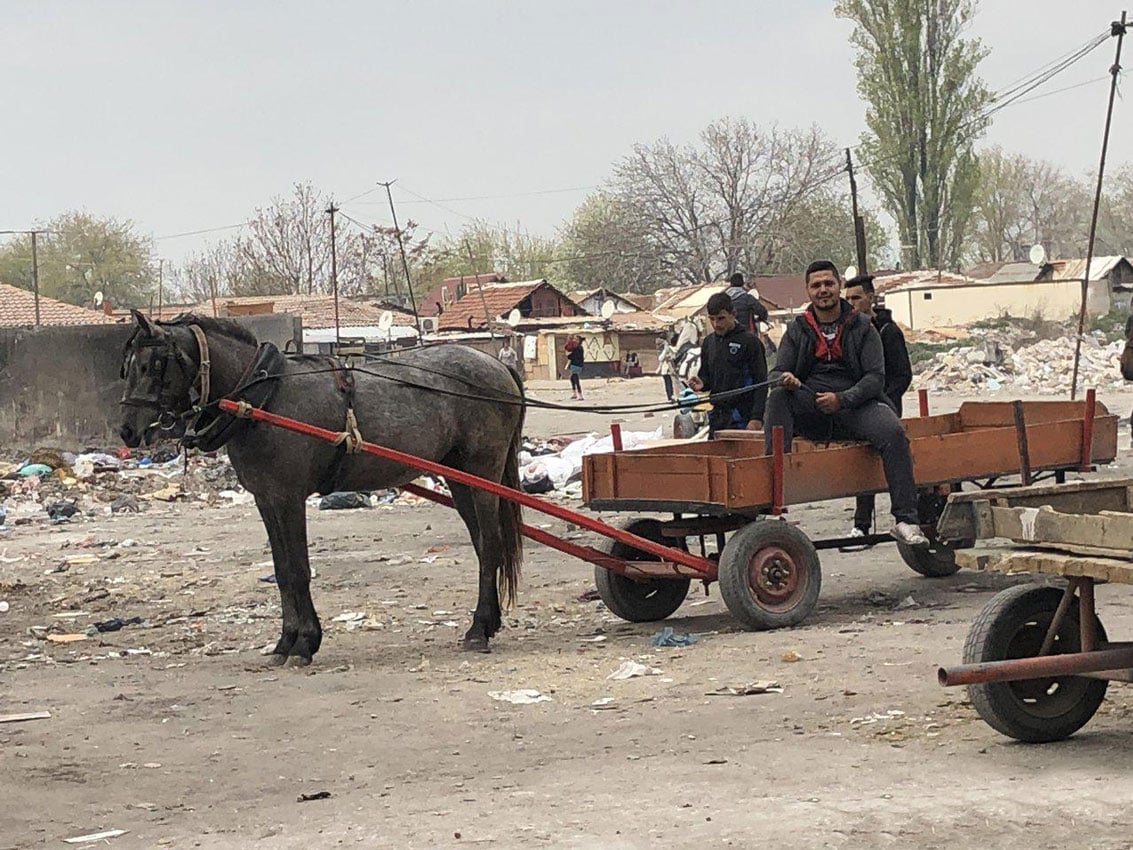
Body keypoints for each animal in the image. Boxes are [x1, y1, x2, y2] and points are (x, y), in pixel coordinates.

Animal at [117, 312, 523, 666]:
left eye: (154, 363)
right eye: (127, 365)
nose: (127, 430)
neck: (263, 399)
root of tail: (498, 365)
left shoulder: (288, 497)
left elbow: (298, 569)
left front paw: (304, 643)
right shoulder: (266, 499)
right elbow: (282, 571)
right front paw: (285, 642)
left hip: (483, 471)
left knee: (490, 544)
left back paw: (478, 630)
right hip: (459, 477)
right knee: (484, 543)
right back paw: (488, 621)